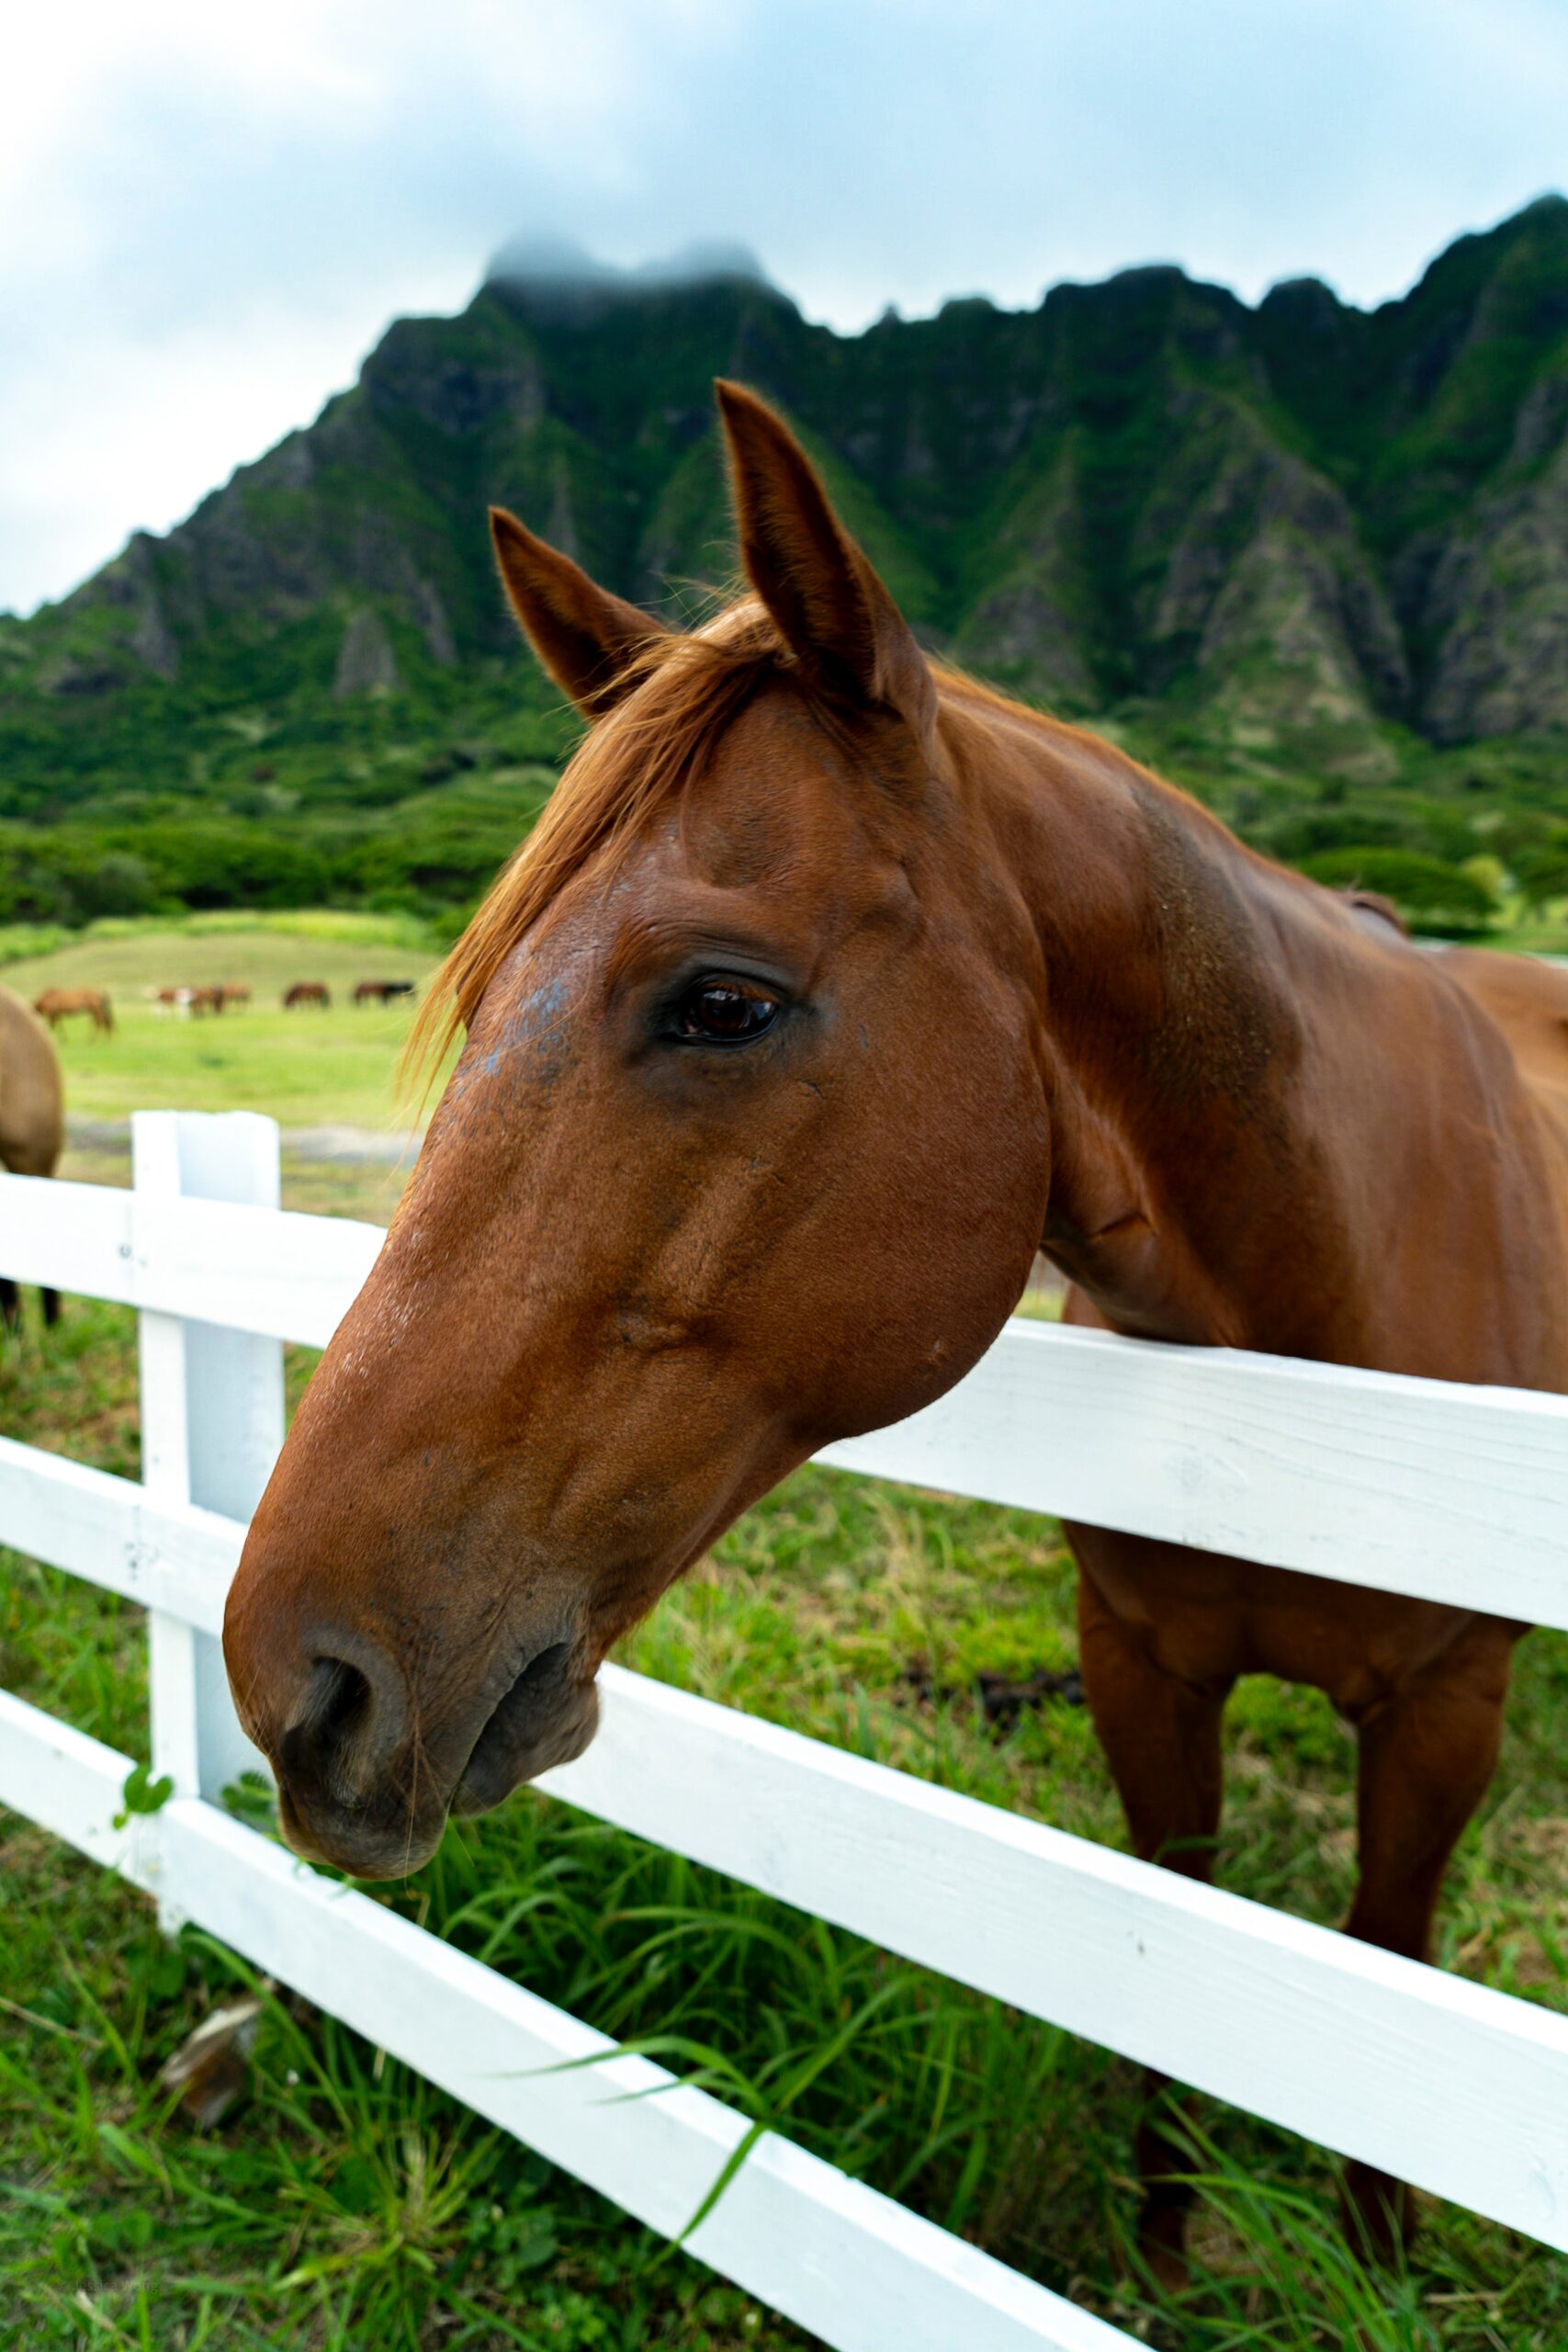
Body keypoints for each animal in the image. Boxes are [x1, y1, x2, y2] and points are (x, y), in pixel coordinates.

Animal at [220, 380, 1568, 2277]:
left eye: (722, 1002)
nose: (299, 1682)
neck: (1301, 1352)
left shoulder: (1445, 1707)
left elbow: (1385, 1971)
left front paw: (1375, 2262)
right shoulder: (1136, 1667)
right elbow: (1182, 1955)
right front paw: (1168, 2256)